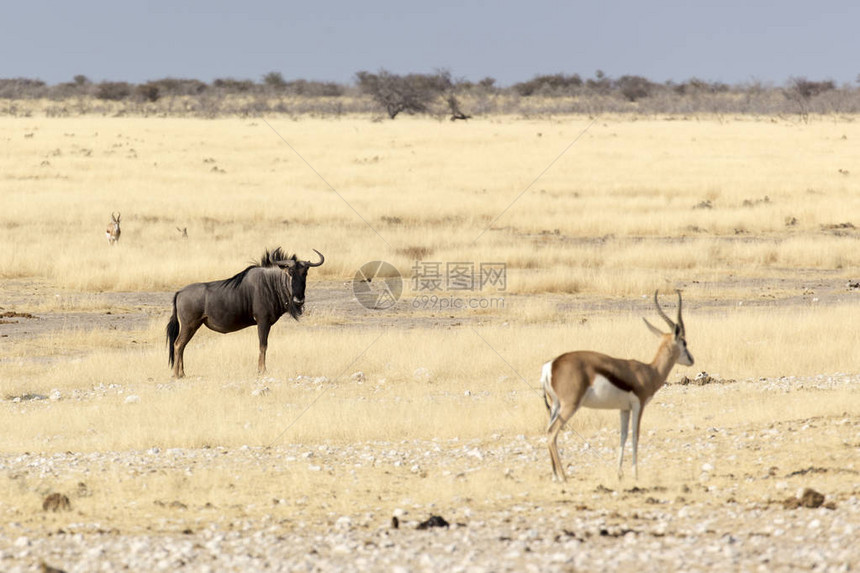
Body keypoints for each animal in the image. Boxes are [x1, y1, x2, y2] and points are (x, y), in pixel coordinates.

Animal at [544, 288, 692, 480]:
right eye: (684, 342)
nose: (691, 360)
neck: (649, 371)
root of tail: (552, 365)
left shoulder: (624, 409)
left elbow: (622, 435)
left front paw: (619, 473)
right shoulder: (639, 405)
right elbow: (635, 435)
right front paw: (635, 474)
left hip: (555, 406)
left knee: (547, 431)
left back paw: (555, 476)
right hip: (569, 406)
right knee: (552, 433)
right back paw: (563, 477)